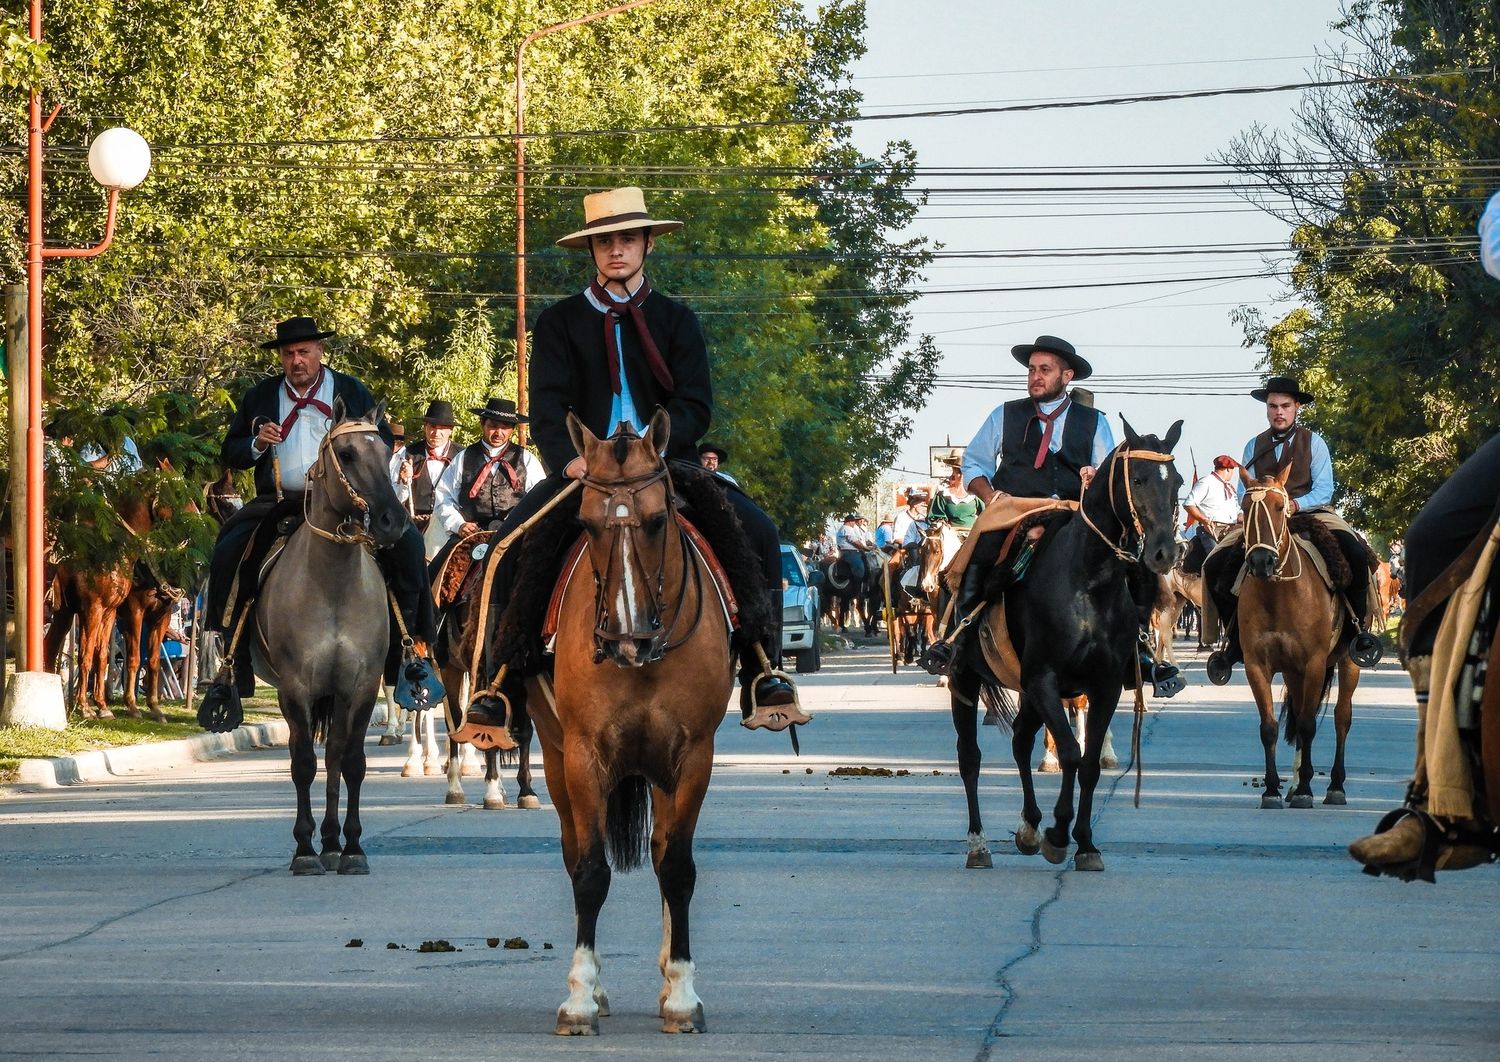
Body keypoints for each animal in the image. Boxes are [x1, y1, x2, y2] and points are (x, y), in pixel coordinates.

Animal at [252, 396, 408, 870]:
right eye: (347, 454)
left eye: (387, 452)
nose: (392, 521)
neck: (333, 584)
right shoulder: (295, 688)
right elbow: (303, 762)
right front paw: (304, 849)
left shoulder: (361, 685)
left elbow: (352, 761)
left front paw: (353, 846)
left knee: (337, 755)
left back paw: (334, 841)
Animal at [531, 411, 735, 1032]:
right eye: (584, 523)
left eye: (656, 520)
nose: (625, 641)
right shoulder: (583, 754)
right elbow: (590, 871)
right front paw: (579, 997)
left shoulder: (692, 756)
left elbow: (678, 868)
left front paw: (684, 994)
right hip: (557, 759)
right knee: (576, 853)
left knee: (665, 850)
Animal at [948, 420, 1182, 876]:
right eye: (1138, 479)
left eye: (1177, 481)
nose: (1163, 553)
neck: (1088, 581)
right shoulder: (1044, 680)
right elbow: (1072, 754)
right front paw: (1058, 835)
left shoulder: (1103, 686)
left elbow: (1088, 764)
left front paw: (1084, 843)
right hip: (963, 680)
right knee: (970, 758)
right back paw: (979, 844)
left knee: (1021, 741)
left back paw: (1028, 828)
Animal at [1230, 465, 1362, 804]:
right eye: (1245, 508)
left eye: (1280, 507)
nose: (1261, 562)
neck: (1278, 594)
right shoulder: (1257, 666)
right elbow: (1270, 727)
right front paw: (1272, 789)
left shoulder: (1314, 663)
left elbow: (1306, 724)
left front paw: (1304, 790)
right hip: (1293, 672)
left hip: (1347, 662)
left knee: (1342, 717)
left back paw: (1335, 786)